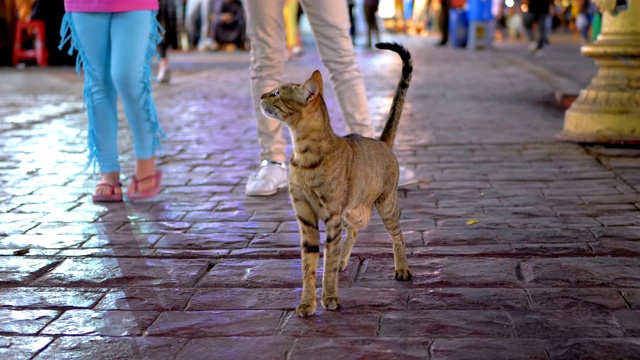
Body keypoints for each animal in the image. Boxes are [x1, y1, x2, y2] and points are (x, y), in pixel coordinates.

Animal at [260, 43, 416, 318]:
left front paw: (330, 296)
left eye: (277, 93)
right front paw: (307, 302)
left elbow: (328, 262)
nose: (261, 96)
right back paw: (345, 260)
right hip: (353, 210)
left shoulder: (331, 216)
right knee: (354, 231)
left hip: (385, 204)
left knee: (397, 235)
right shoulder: (305, 217)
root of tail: (381, 142)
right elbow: (308, 265)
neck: (303, 157)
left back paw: (401, 268)